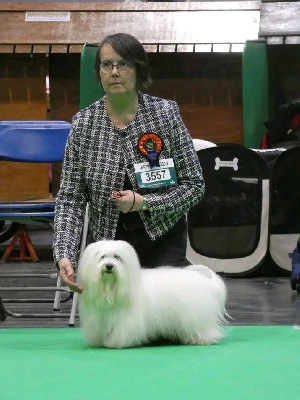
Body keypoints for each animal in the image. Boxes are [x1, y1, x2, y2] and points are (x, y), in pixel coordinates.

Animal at [78, 239, 227, 348]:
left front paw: (115, 343)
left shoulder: (126, 320)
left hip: (196, 316)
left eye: (117, 257)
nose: (109, 266)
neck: (110, 288)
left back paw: (203, 339)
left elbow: (122, 333)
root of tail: (205, 280)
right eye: (102, 257)